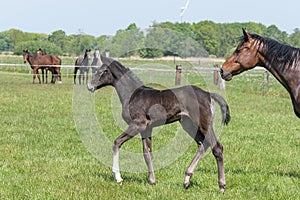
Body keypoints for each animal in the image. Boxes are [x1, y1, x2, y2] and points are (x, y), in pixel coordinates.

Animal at [88, 55, 231, 191]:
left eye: (102, 71)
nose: (90, 86)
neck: (133, 94)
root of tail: (208, 94)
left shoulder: (138, 125)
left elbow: (117, 142)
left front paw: (118, 177)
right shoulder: (146, 129)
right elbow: (147, 153)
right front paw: (152, 180)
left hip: (203, 123)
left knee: (217, 147)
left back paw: (222, 185)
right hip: (189, 125)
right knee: (202, 145)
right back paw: (186, 179)